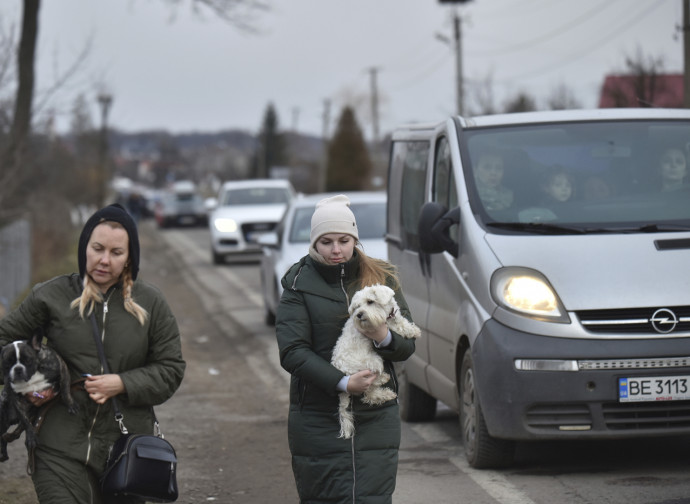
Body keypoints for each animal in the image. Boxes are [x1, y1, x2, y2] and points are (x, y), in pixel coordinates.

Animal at [330, 286, 420, 440]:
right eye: (357, 306)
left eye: (370, 301)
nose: (359, 314)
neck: (387, 316)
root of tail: (342, 372)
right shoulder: (381, 326)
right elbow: (397, 328)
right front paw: (412, 331)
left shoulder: (394, 317)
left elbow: (401, 322)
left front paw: (412, 329)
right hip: (372, 362)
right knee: (371, 387)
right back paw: (383, 380)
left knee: (369, 395)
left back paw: (386, 393)